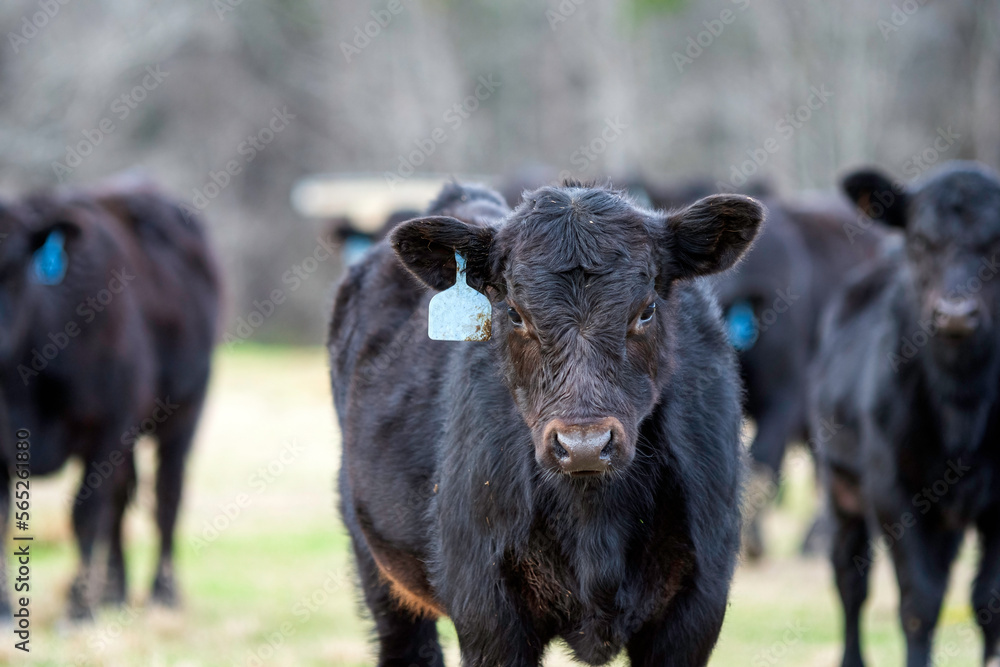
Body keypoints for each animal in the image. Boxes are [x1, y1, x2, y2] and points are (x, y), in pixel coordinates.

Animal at [0, 176, 220, 619]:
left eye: (12, 268)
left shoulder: (105, 427)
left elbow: (84, 513)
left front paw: (77, 608)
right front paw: (3, 606)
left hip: (183, 413)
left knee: (166, 495)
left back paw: (162, 592)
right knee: (121, 498)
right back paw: (113, 591)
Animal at [329, 180, 763, 665]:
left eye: (647, 310)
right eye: (515, 313)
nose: (584, 445)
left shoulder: (697, 602)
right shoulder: (486, 607)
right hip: (376, 564)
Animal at [810, 161, 1000, 667]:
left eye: (998, 241)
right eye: (918, 241)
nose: (956, 314)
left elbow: (989, 600)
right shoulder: (893, 489)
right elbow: (919, 603)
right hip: (840, 488)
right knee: (850, 582)